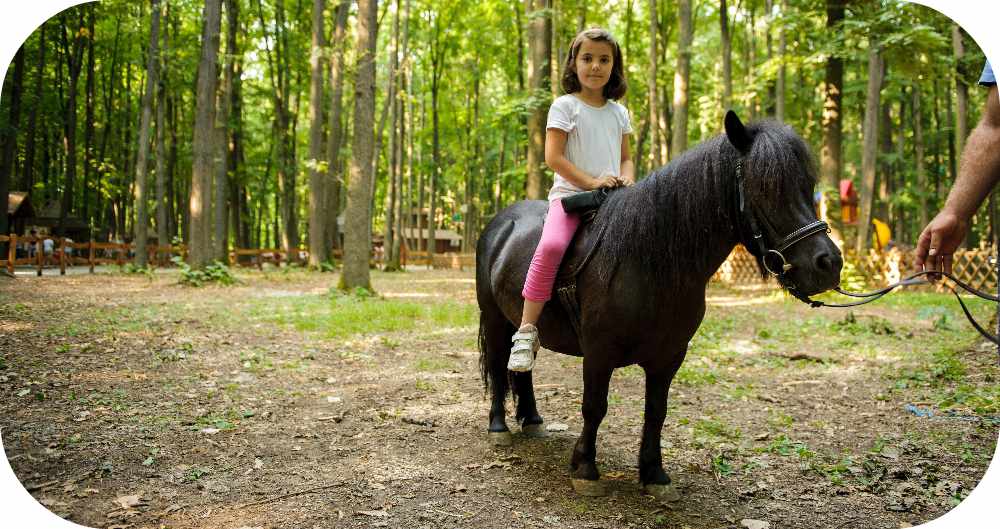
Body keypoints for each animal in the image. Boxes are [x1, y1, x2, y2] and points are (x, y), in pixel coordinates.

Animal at [472, 111, 840, 496]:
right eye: (766, 188)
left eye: (807, 185)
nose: (828, 264)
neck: (648, 261)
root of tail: (502, 223)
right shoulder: (599, 352)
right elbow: (594, 407)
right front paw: (585, 468)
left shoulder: (669, 356)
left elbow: (656, 411)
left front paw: (653, 473)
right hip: (495, 318)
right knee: (497, 364)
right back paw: (498, 427)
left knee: (522, 367)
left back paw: (532, 420)